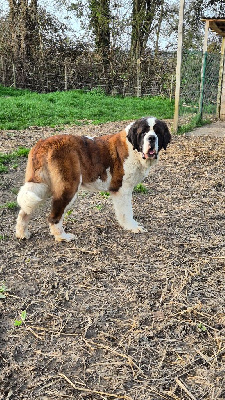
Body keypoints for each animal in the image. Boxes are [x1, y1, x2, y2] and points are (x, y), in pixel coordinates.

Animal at [15, 115, 171, 241]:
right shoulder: (122, 189)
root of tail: (43, 143)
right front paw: (132, 226)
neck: (133, 148)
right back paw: (62, 236)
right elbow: (127, 211)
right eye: (143, 132)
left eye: (157, 132)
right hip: (68, 187)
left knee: (25, 209)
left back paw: (22, 233)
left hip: (43, 186)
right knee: (54, 216)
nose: (152, 138)